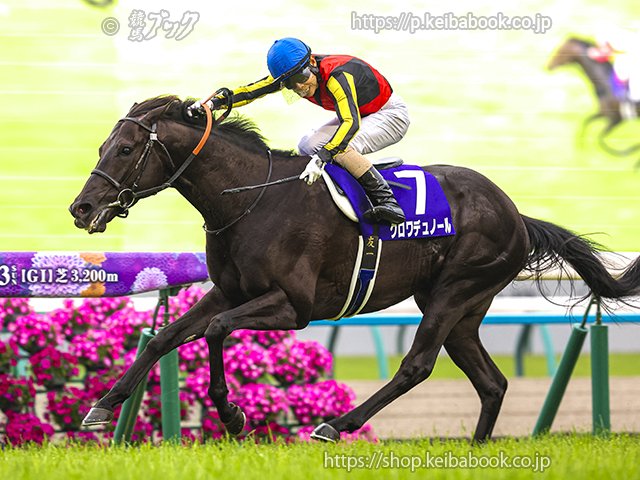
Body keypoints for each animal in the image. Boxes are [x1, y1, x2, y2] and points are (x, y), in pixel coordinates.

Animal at [69, 95, 640, 443]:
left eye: (125, 148)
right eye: (100, 146)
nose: (81, 207)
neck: (250, 201)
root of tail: (515, 213)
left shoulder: (293, 307)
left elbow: (214, 331)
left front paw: (232, 416)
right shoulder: (229, 291)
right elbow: (166, 337)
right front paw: (102, 406)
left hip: (454, 291)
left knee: (417, 365)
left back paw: (337, 424)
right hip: (466, 308)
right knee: (492, 381)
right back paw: (477, 450)